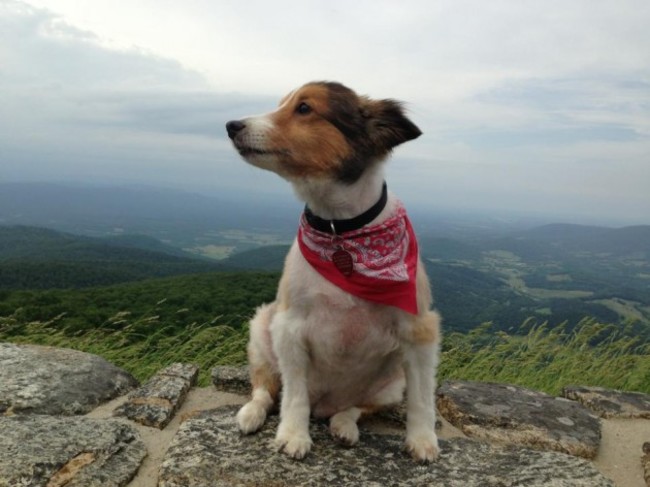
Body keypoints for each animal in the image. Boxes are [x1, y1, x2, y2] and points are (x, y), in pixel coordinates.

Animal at [224, 82, 440, 464]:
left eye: (304, 108)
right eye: (282, 104)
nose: (232, 125)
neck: (340, 230)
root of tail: (325, 405)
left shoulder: (420, 331)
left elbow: (422, 398)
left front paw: (422, 440)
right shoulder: (289, 327)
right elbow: (293, 395)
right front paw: (293, 435)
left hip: (390, 384)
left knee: (357, 407)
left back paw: (344, 424)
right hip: (263, 329)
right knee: (266, 388)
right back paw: (252, 413)